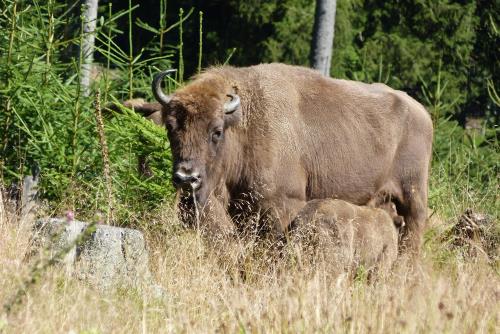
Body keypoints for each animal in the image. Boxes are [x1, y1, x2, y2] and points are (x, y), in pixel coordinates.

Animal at [152, 64, 434, 254]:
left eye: (216, 131)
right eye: (171, 127)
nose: (186, 177)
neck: (246, 122)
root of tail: (421, 112)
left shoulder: (282, 205)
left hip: (412, 193)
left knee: (414, 227)